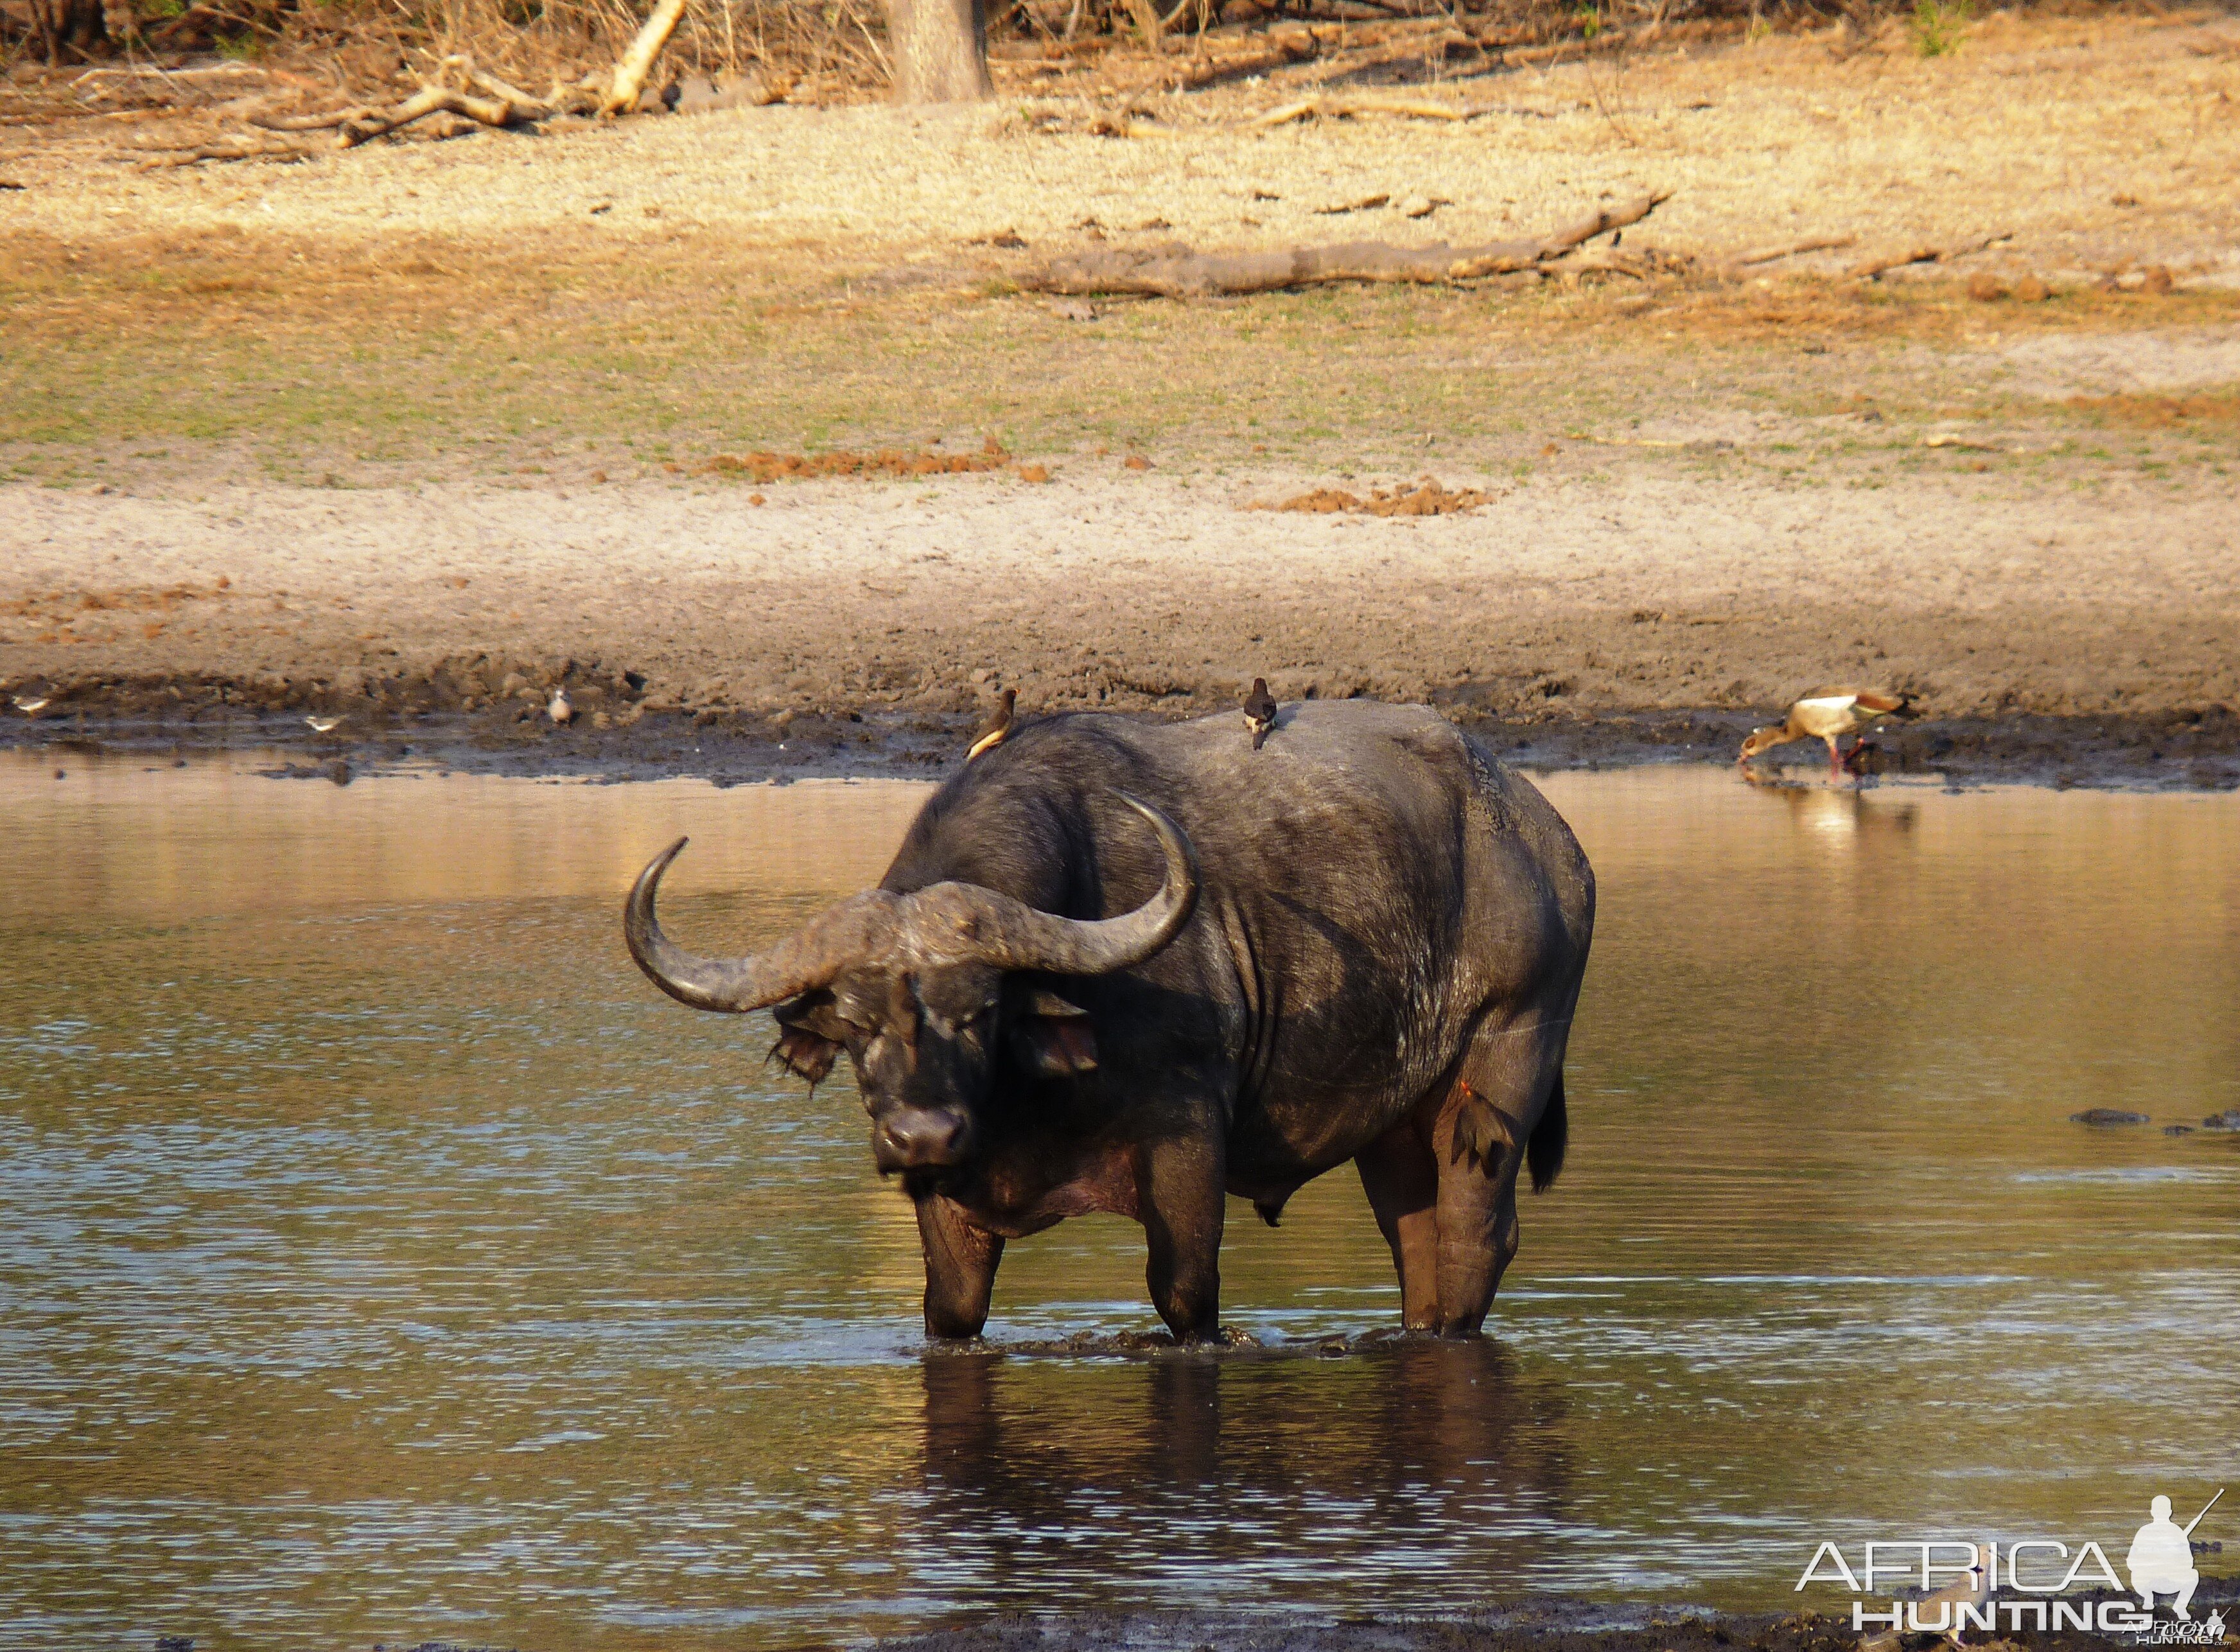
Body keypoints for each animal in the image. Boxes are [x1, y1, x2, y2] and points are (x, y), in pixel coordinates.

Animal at [627, 693, 1595, 1343]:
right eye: (858, 1024)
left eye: (981, 1011)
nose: (922, 1133)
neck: (1031, 1096)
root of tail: (1545, 837)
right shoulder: (947, 1204)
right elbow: (952, 1308)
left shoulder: (1187, 1136)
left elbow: (1185, 1295)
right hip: (1396, 1124)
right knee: (1416, 1240)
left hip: (1507, 1060)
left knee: (1474, 1236)